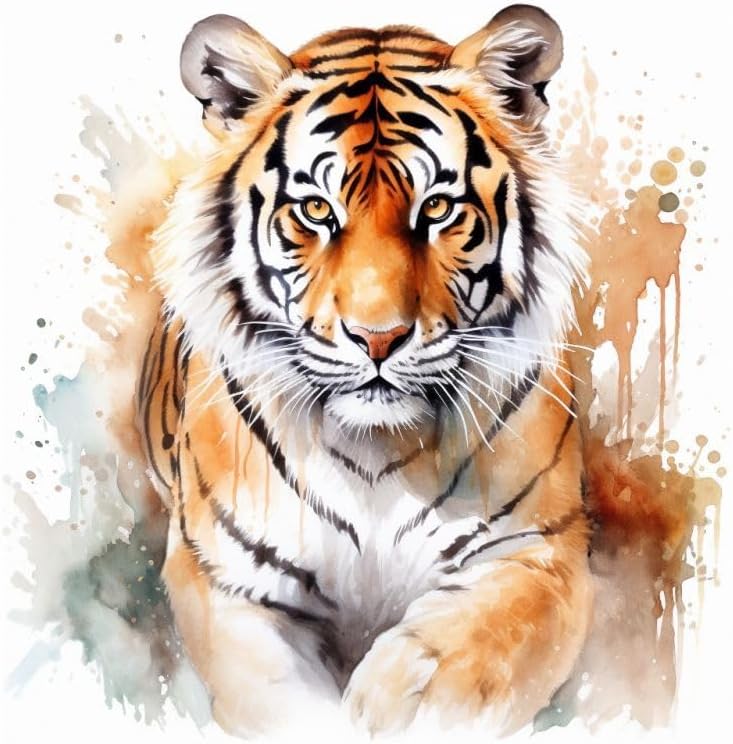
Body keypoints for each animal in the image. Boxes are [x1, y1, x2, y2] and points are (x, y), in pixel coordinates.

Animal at [138, 4, 593, 736]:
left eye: (436, 208)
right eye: (316, 210)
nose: (378, 339)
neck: (377, 454)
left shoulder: (537, 553)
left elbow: (464, 663)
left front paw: (393, 700)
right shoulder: (226, 579)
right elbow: (284, 702)